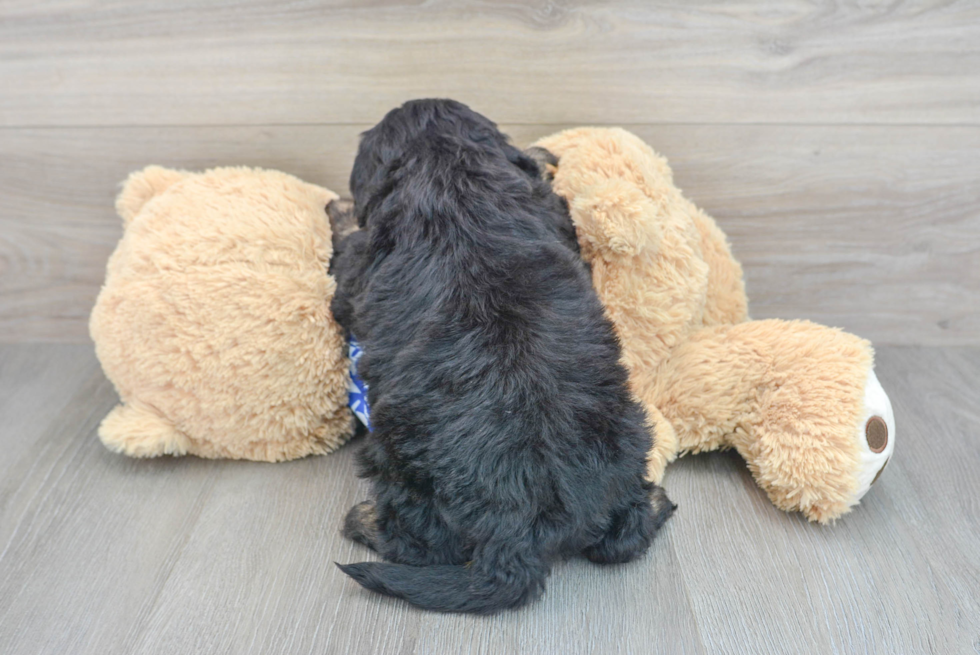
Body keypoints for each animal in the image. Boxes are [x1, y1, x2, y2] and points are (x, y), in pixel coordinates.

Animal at [332, 98, 672, 616]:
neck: (448, 169)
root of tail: (521, 531)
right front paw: (539, 155)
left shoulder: (356, 272)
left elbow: (345, 255)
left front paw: (340, 209)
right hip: (631, 434)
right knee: (626, 536)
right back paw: (656, 504)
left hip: (396, 463)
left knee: (416, 543)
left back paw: (362, 520)